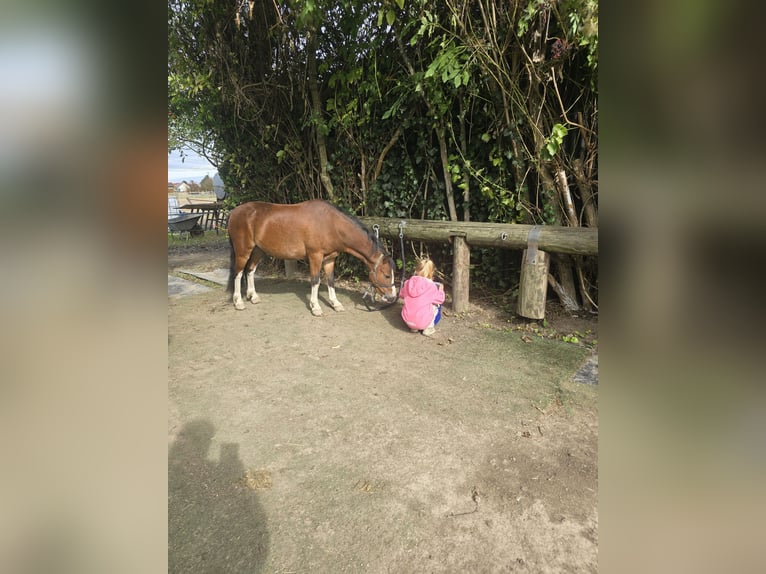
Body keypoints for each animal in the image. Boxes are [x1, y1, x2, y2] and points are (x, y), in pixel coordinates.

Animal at [226, 198, 396, 316]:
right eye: (387, 275)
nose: (392, 297)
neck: (330, 224)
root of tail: (234, 212)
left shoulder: (329, 259)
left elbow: (331, 280)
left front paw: (335, 304)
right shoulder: (315, 256)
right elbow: (315, 280)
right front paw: (316, 307)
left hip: (258, 250)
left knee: (250, 270)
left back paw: (253, 296)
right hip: (243, 251)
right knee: (238, 273)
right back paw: (238, 302)